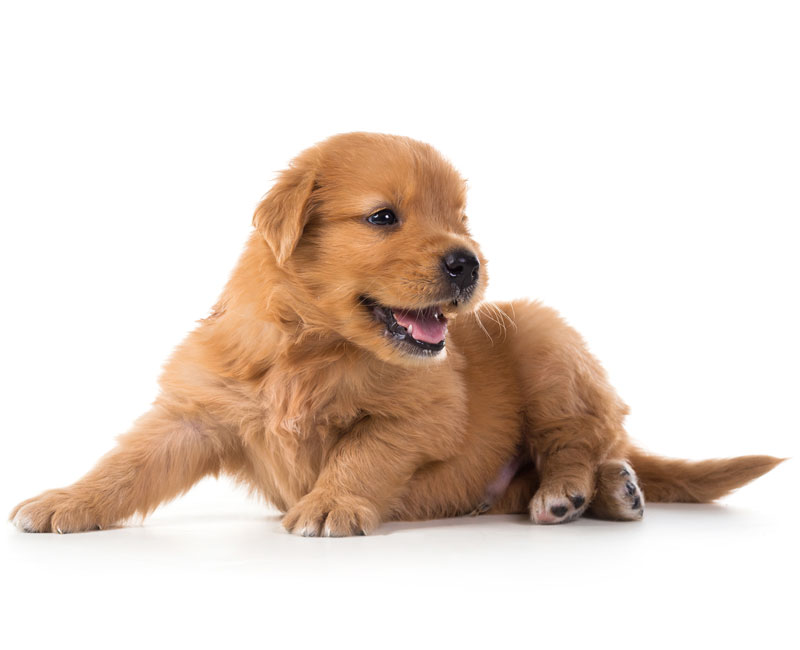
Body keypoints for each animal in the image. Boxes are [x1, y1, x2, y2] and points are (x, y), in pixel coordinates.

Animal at [9, 130, 784, 532]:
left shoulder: (424, 414)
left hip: (544, 337)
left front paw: (331, 504)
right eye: (384, 217)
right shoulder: (197, 412)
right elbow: (127, 466)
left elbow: (364, 452)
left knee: (584, 437)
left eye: (461, 218)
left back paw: (580, 491)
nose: (469, 262)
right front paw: (65, 502)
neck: (311, 347)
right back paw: (607, 493)